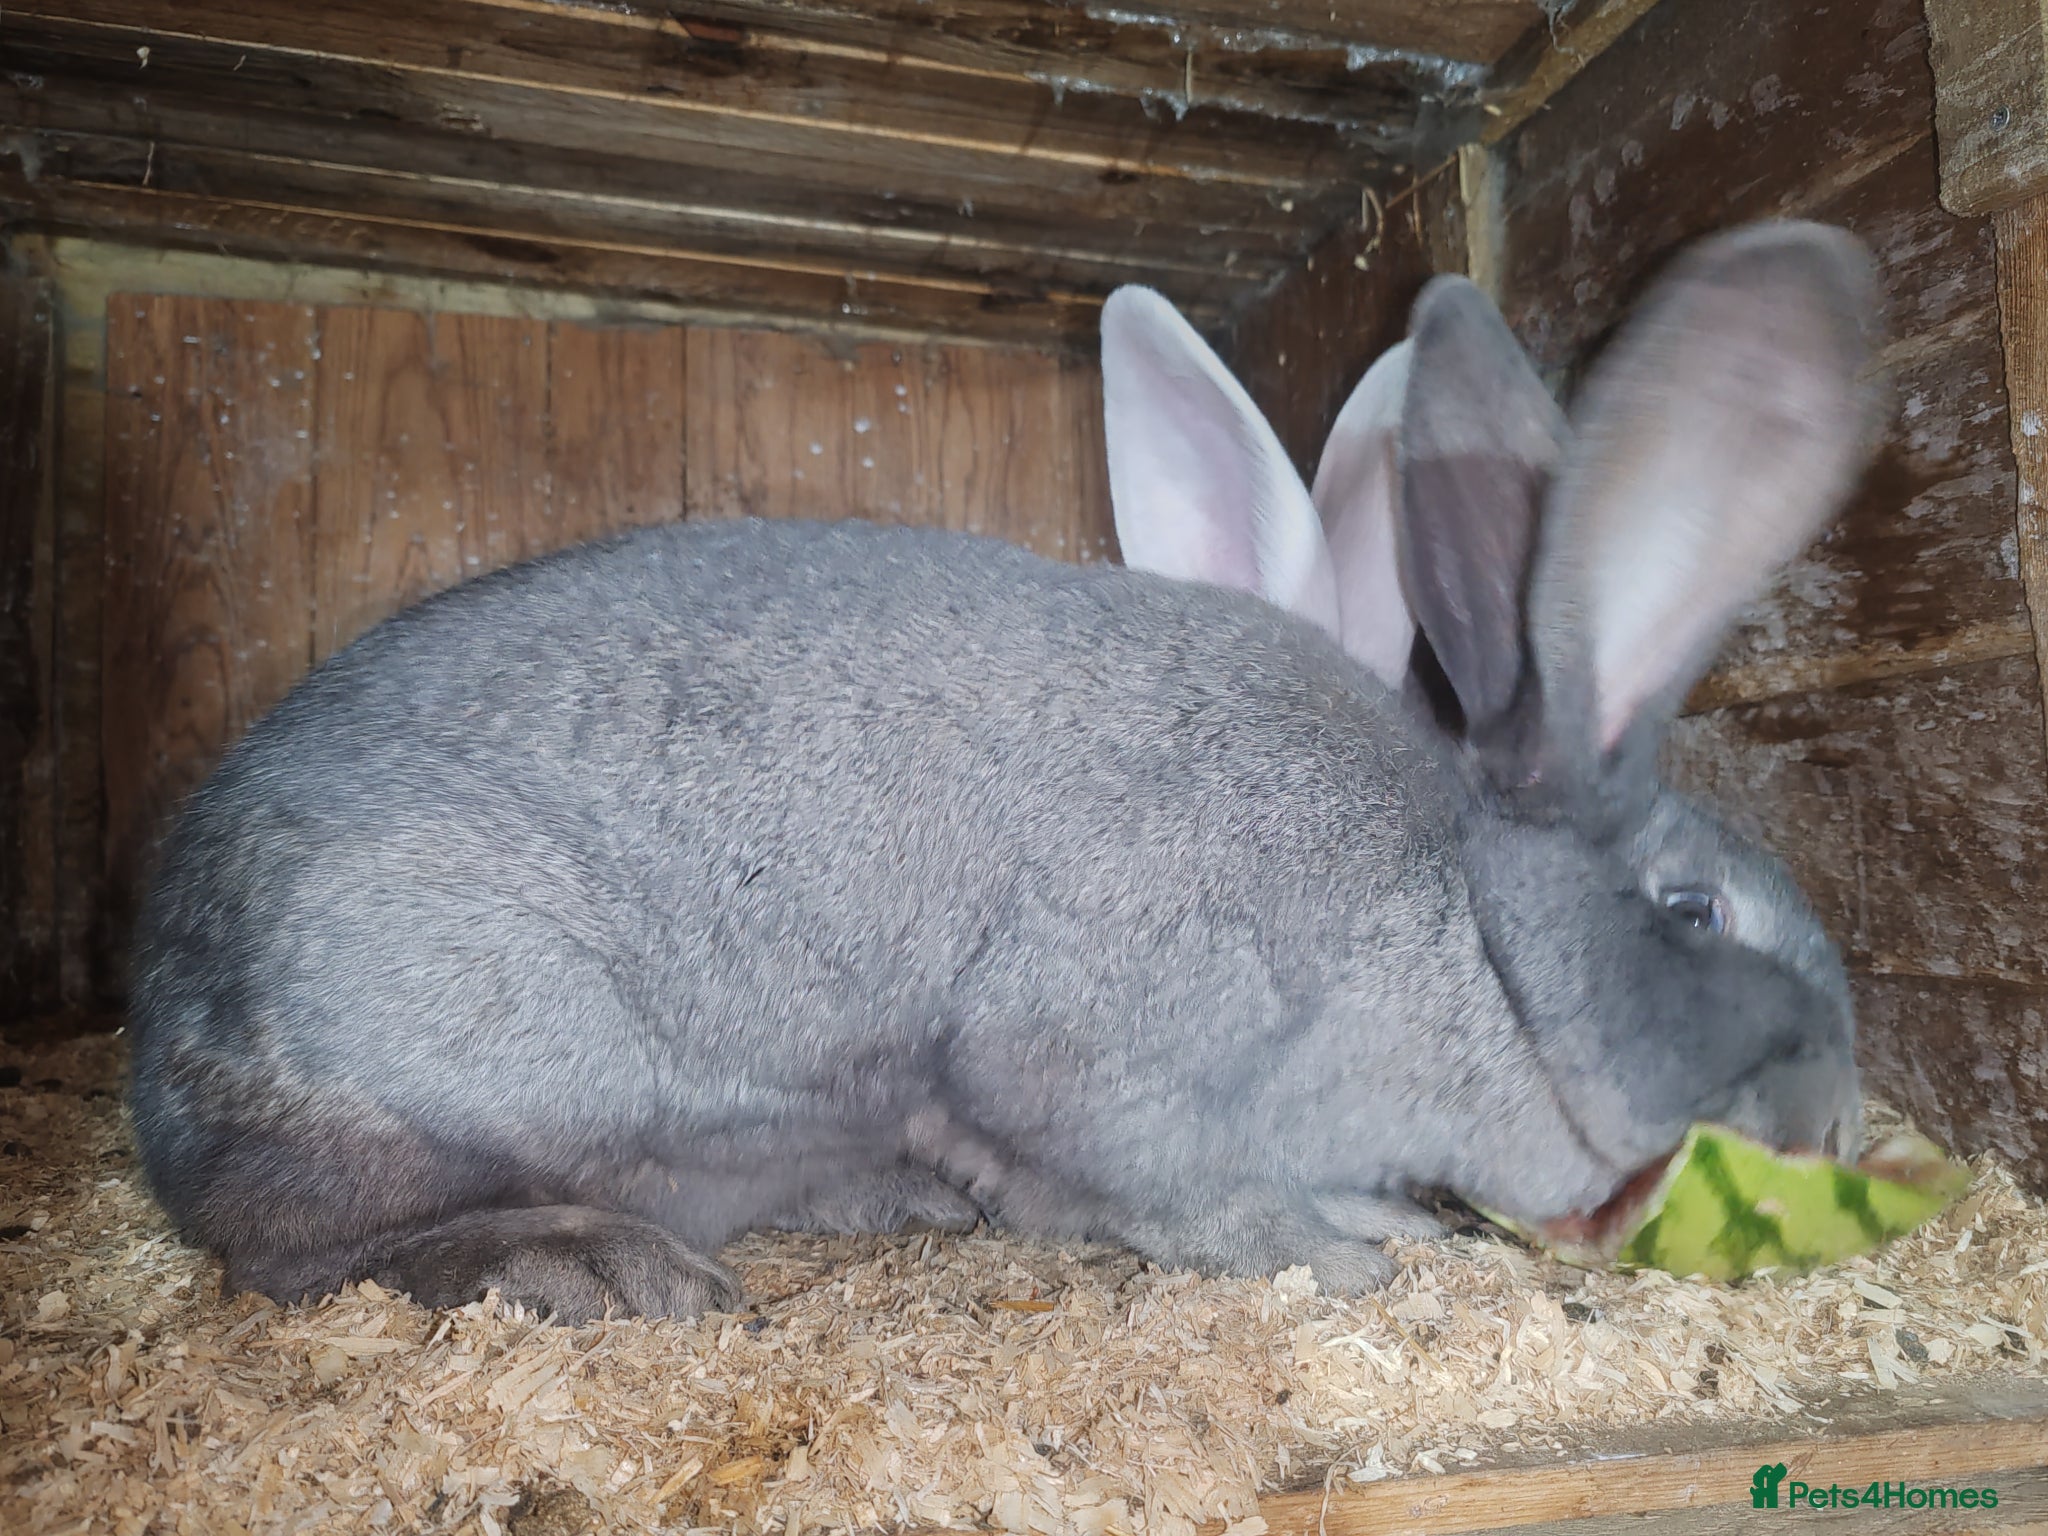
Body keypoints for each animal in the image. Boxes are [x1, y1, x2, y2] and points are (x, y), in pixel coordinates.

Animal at [127, 220, 1883, 1325]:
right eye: (1696, 914)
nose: (1839, 1123)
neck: (1470, 919)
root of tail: (160, 1033)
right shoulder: (1099, 1048)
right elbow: (1161, 1181)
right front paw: (1346, 1255)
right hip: (457, 1044)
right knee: (291, 1241)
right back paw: (593, 1270)